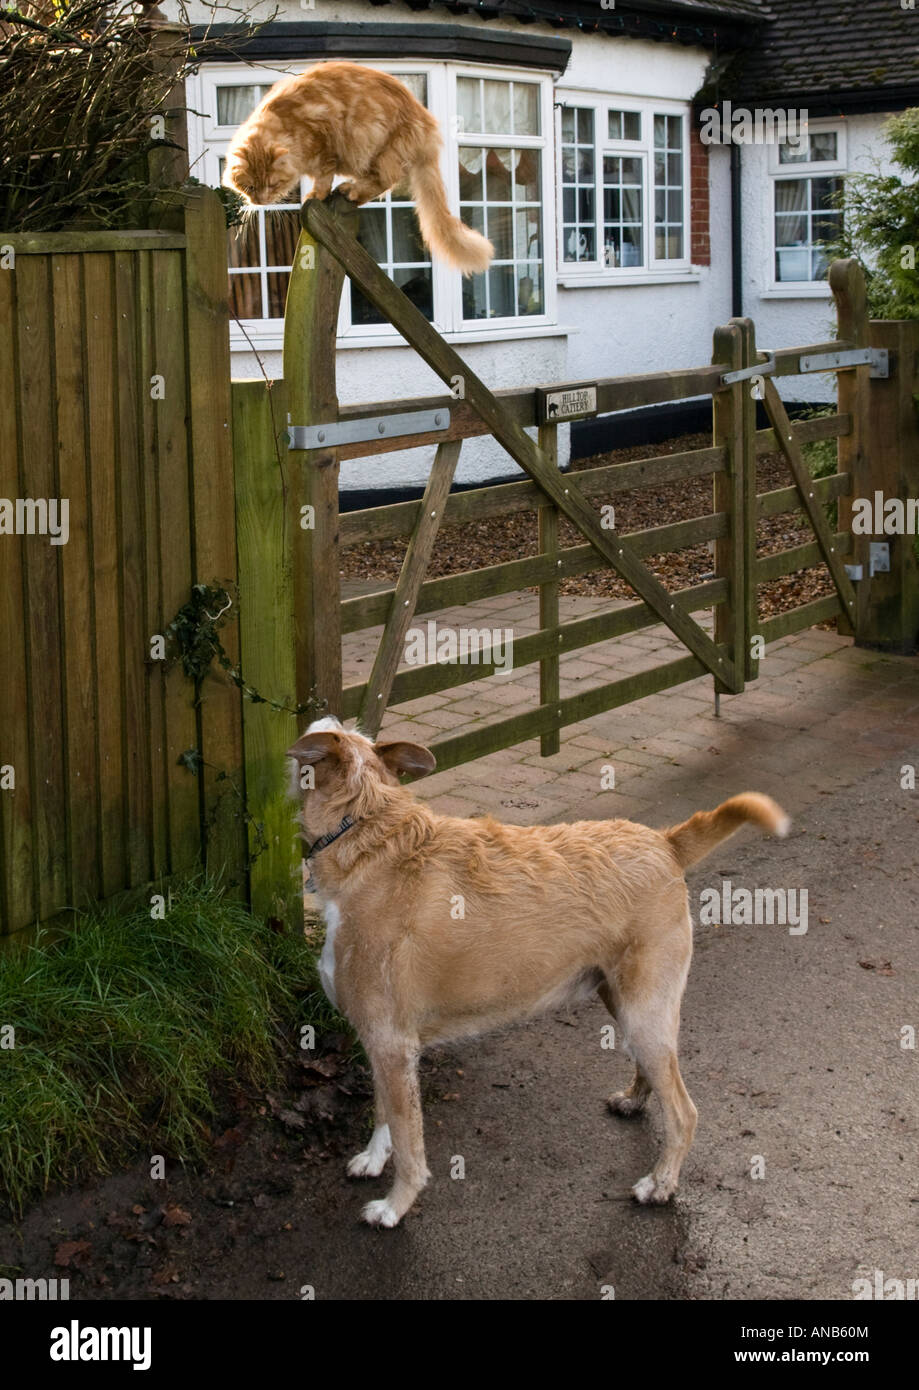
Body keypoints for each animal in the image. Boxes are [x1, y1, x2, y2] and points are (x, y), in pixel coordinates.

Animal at [222, 61, 494, 275]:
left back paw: (351, 190)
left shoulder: (324, 144)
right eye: (250, 187)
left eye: (273, 184)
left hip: (378, 148)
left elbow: (323, 177)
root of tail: (426, 123)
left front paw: (316, 194)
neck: (287, 124)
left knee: (385, 181)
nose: (260, 201)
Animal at [289, 717, 789, 1228]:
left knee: (684, 1113)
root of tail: (664, 841)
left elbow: (409, 1142)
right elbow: (384, 1115)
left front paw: (395, 1205)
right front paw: (373, 1159)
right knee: (654, 1072)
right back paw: (634, 1099)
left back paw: (660, 1183)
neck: (364, 825)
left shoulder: (391, 1043)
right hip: (624, 1002)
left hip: (646, 1010)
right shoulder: (382, 1045)